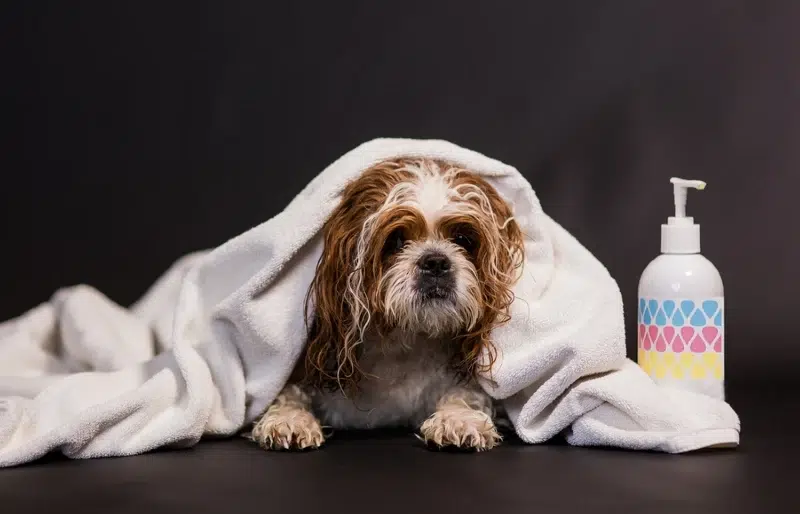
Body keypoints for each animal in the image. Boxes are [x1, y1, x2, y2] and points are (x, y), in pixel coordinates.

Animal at [250, 158, 524, 450]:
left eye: (463, 239)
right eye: (396, 240)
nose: (436, 262)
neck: (404, 342)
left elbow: (468, 395)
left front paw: (459, 419)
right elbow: (289, 393)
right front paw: (289, 419)